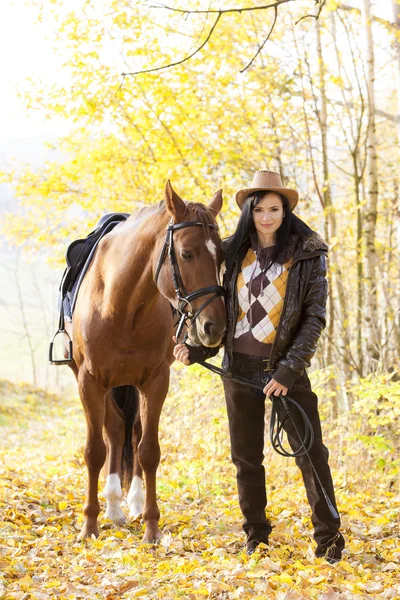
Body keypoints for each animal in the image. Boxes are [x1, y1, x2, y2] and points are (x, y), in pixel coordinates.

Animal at [67, 180, 227, 540]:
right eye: (187, 253)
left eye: (222, 256)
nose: (215, 326)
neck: (121, 305)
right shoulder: (88, 381)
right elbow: (94, 451)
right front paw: (89, 525)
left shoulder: (155, 381)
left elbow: (149, 451)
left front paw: (152, 527)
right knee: (114, 431)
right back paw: (113, 508)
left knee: (133, 433)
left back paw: (134, 505)